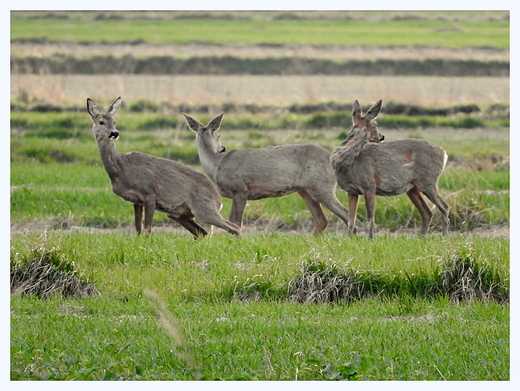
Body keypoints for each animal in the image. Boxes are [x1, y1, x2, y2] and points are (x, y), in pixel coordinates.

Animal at [87, 97, 242, 239]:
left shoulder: (150, 192)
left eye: (114, 122)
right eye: (101, 122)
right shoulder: (136, 201)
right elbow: (138, 230)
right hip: (179, 215)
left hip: (204, 208)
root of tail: (218, 198)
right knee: (202, 233)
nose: (114, 133)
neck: (121, 168)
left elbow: (147, 229)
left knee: (234, 227)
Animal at [182, 113, 350, 236]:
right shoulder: (237, 192)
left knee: (345, 212)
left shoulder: (240, 189)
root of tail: (332, 158)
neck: (217, 164)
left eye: (218, 135)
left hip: (322, 185)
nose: (222, 148)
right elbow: (232, 221)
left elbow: (235, 222)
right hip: (305, 190)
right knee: (322, 219)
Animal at [332, 99, 448, 239]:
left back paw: (444, 236)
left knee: (444, 207)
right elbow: (351, 219)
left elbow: (370, 218)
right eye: (376, 124)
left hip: (428, 181)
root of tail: (444, 154)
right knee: (427, 212)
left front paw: (371, 239)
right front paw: (349, 238)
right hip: (412, 188)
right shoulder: (352, 191)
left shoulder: (369, 185)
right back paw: (421, 237)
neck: (346, 163)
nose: (381, 137)